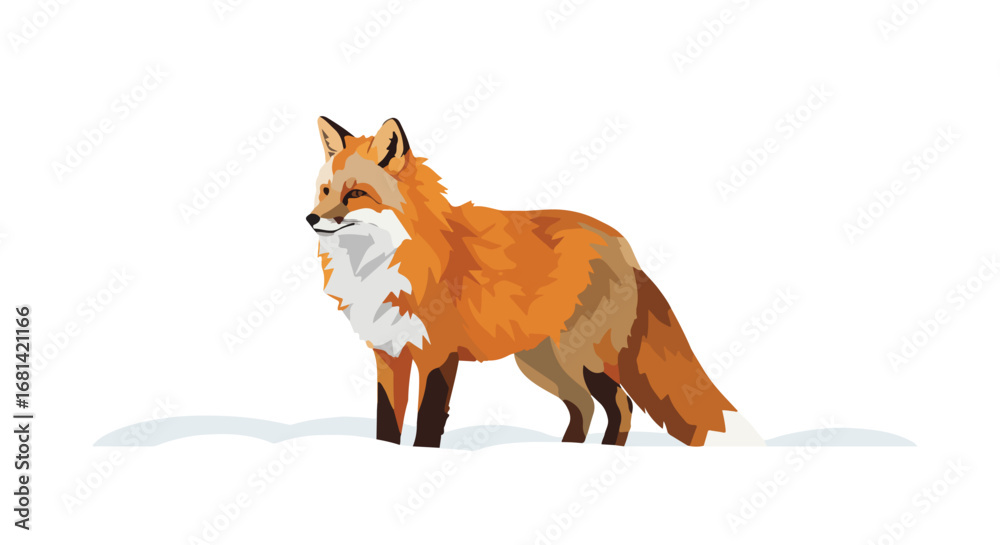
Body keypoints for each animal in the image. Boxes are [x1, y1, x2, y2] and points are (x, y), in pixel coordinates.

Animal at [307, 116, 764, 448]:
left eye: (355, 195)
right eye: (325, 191)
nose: (311, 218)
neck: (385, 261)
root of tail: (623, 246)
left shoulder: (438, 353)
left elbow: (428, 422)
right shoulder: (390, 353)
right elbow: (387, 422)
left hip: (580, 356)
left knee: (620, 405)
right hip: (546, 363)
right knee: (586, 408)